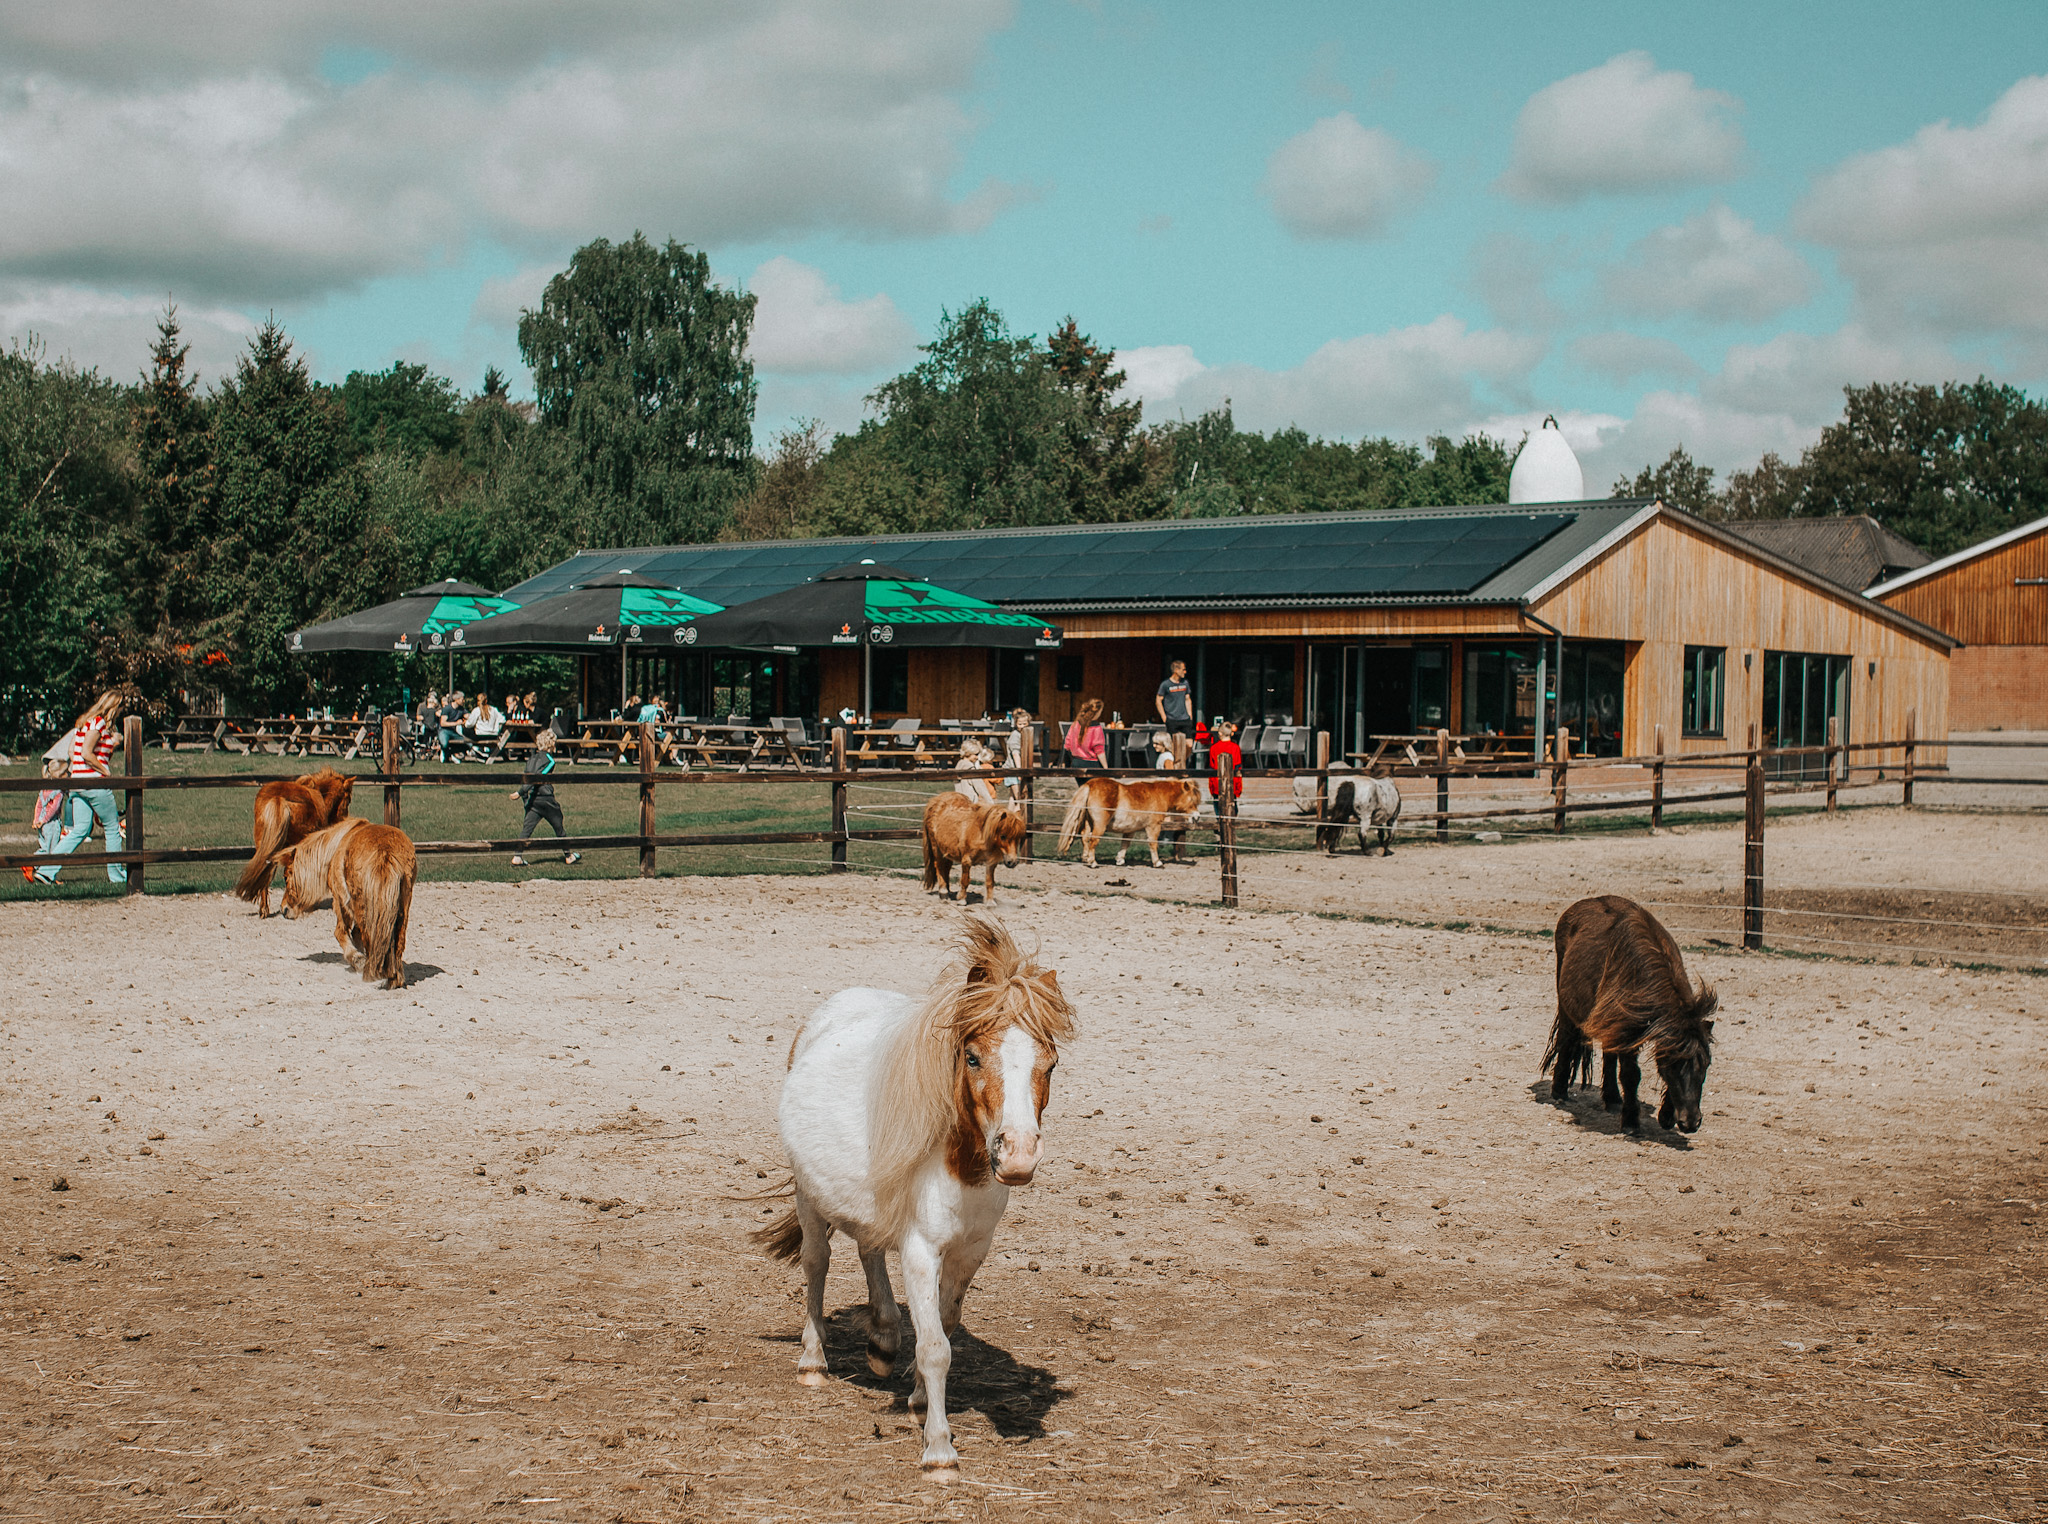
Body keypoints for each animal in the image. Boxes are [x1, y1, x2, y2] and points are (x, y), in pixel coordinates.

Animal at [233, 767, 356, 916]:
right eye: (348, 800)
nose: (343, 819)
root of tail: (278, 798)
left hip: (264, 846)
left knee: (265, 874)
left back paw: (264, 910)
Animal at [270, 818, 417, 989]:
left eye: (286, 876)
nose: (284, 909)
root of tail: (386, 852)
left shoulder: (340, 903)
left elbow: (341, 933)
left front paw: (357, 960)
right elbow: (356, 936)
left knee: (370, 938)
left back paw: (371, 974)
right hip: (402, 907)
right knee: (398, 942)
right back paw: (394, 979)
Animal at [756, 918, 1076, 1478]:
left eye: (1051, 1064)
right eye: (972, 1056)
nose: (1017, 1156)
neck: (960, 1164)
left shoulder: (970, 1252)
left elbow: (944, 1326)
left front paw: (920, 1400)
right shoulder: (922, 1250)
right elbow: (934, 1347)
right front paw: (939, 1451)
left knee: (868, 1249)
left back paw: (882, 1341)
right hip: (808, 1198)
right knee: (818, 1261)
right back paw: (814, 1361)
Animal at [1056, 775, 1203, 869]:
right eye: (1192, 799)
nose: (1197, 817)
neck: (1160, 795)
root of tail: (1089, 784)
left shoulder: (1130, 829)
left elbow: (1125, 844)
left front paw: (1120, 860)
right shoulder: (1153, 827)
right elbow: (1153, 843)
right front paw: (1157, 862)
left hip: (1088, 823)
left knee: (1085, 838)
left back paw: (1086, 859)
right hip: (1099, 825)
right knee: (1093, 840)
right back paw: (1092, 862)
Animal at [1542, 895, 1716, 1134]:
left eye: (1705, 1065)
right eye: (1673, 1067)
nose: (1691, 1123)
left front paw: (1666, 1116)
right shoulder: (1628, 1032)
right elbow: (1631, 1075)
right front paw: (1631, 1122)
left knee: (1608, 1055)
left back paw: (1613, 1099)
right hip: (1567, 1006)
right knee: (1566, 1039)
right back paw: (1559, 1091)